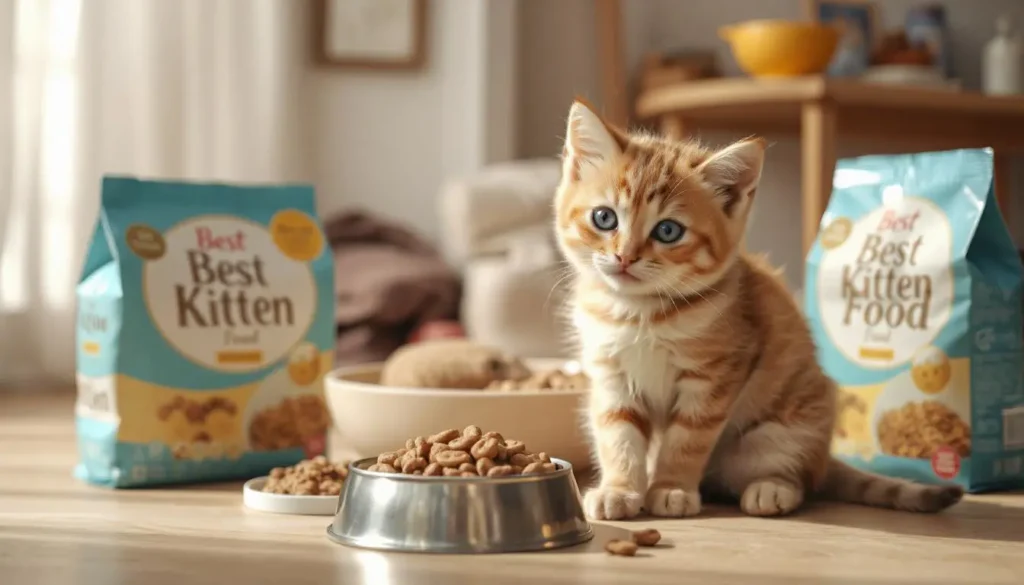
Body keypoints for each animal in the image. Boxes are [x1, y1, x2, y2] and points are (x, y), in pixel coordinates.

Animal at [557, 100, 962, 522]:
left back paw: (772, 488)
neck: (639, 312)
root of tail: (823, 456)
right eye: (604, 218)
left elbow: (686, 439)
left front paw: (671, 487)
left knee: (801, 479)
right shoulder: (611, 376)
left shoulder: (716, 374)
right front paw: (619, 489)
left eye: (668, 231)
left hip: (783, 430)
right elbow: (617, 434)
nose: (624, 257)